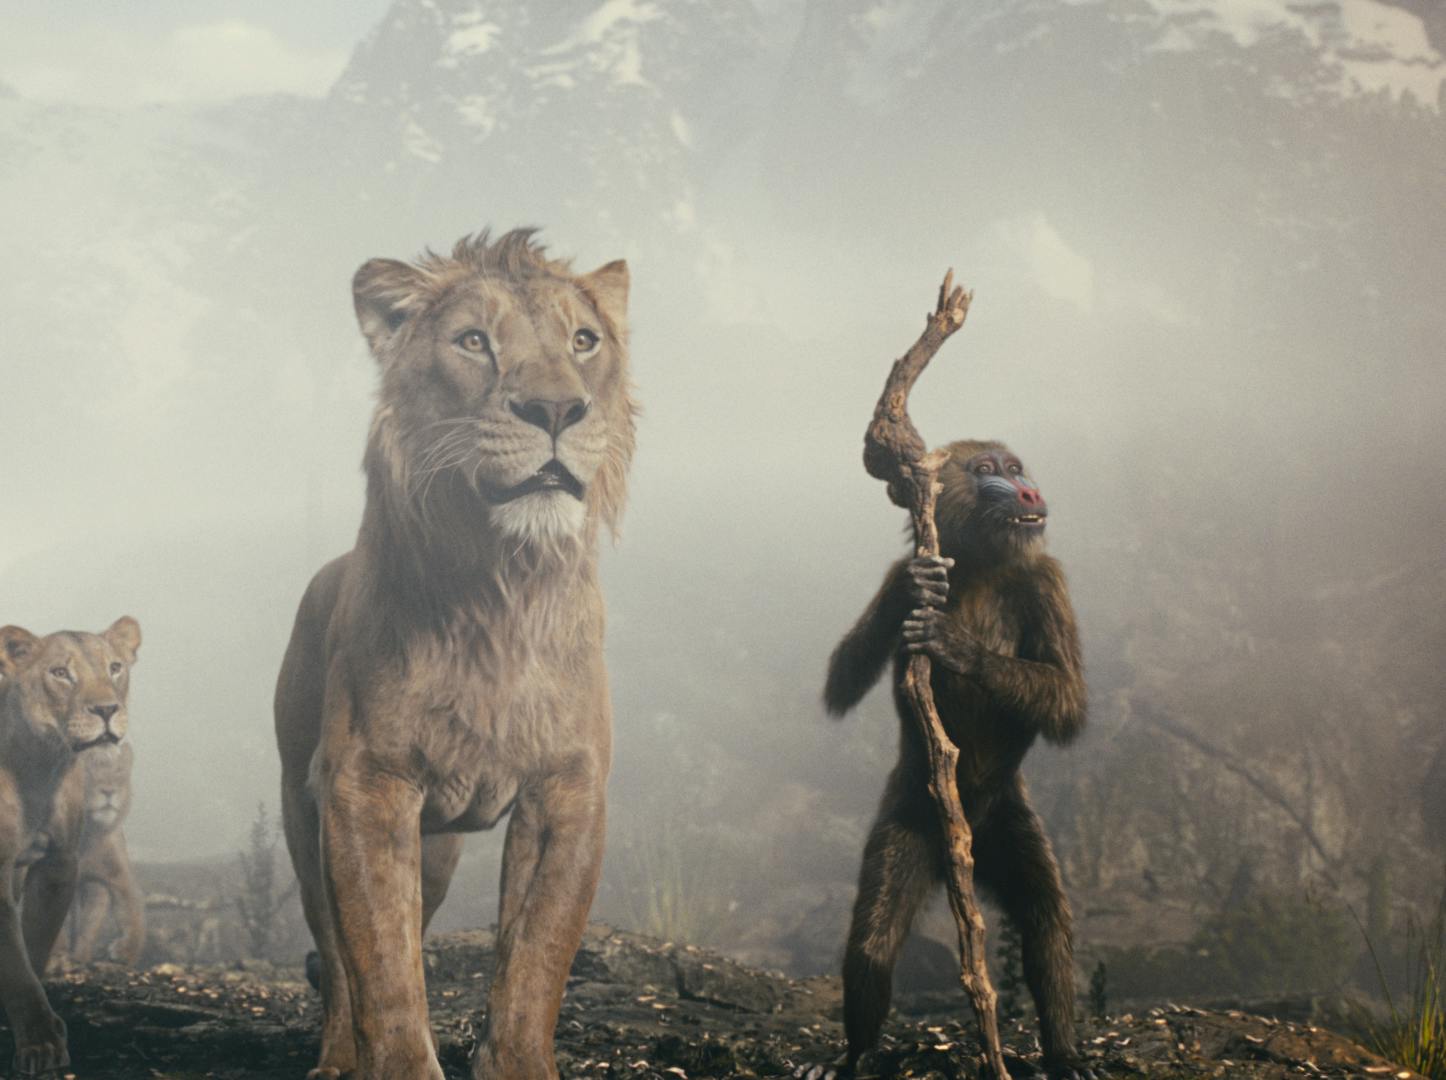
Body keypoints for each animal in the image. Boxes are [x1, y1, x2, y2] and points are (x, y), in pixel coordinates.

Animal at [0, 618, 141, 1077]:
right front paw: (41, 1044)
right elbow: (14, 959)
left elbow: (35, 946)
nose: (106, 710)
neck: (40, 766)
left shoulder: (58, 865)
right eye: (61, 673)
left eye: (115, 667)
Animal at [274, 228, 635, 1080]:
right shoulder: (365, 785)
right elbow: (382, 966)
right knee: (337, 957)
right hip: (304, 810)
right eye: (474, 342)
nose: (555, 408)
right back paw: (337, 1057)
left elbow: (535, 960)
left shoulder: (568, 790)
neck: (502, 589)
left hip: (435, 849)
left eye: (584, 341)